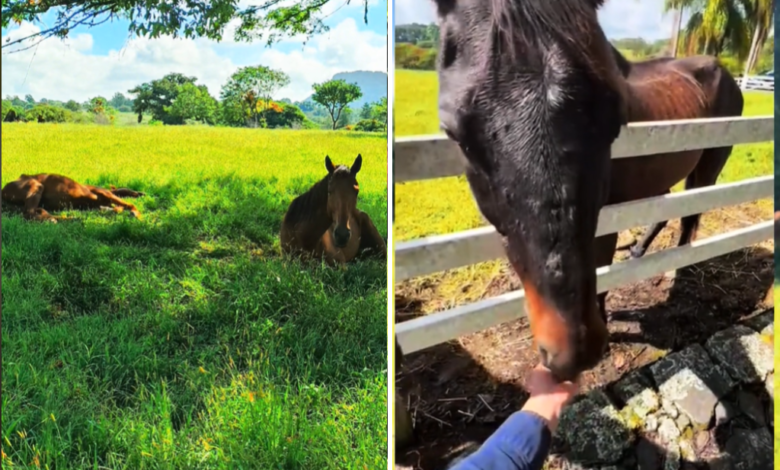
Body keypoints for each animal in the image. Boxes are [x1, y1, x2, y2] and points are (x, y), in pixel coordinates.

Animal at [0, 173, 144, 223]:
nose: (141, 193)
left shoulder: (98, 205)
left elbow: (115, 208)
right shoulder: (104, 194)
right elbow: (129, 204)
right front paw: (137, 214)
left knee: (36, 212)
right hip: (36, 185)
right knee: (29, 213)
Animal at [432, 0, 744, 382]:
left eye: (615, 117)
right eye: (454, 132)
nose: (569, 353)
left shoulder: (604, 222)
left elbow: (601, 274)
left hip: (710, 163)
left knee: (689, 214)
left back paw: (676, 268)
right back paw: (638, 250)